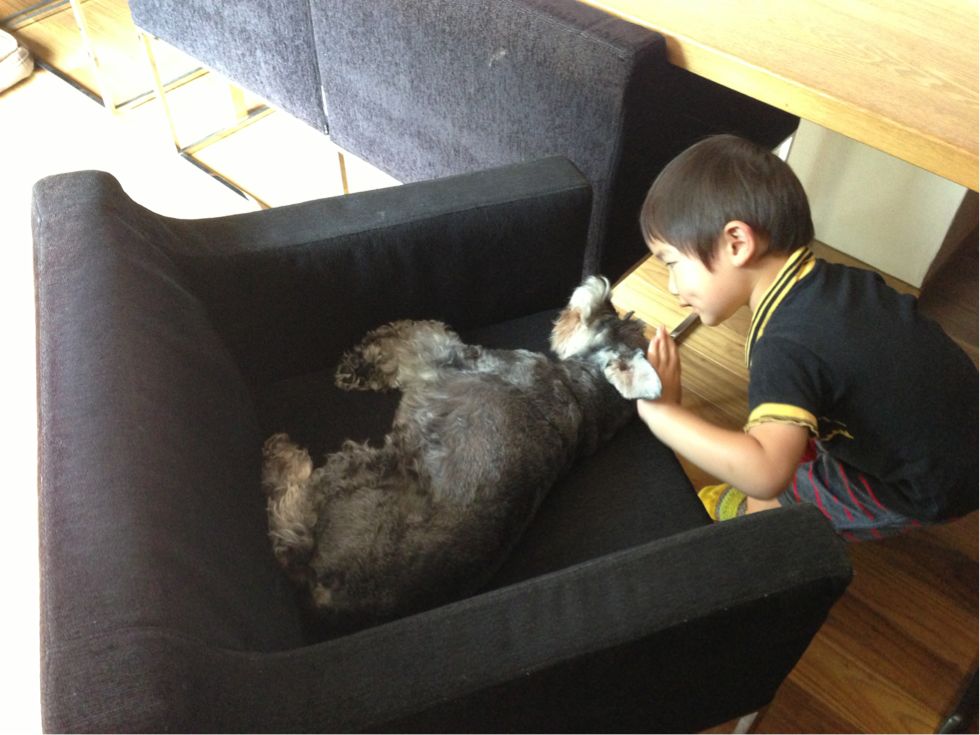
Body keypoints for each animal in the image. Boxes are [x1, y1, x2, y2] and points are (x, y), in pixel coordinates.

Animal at [262, 276, 661, 627]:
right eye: (614, 316)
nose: (599, 287)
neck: (582, 393)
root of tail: (327, 592)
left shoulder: (449, 357)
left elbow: (417, 337)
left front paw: (370, 350)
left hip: (355, 471)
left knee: (290, 516)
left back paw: (281, 456)